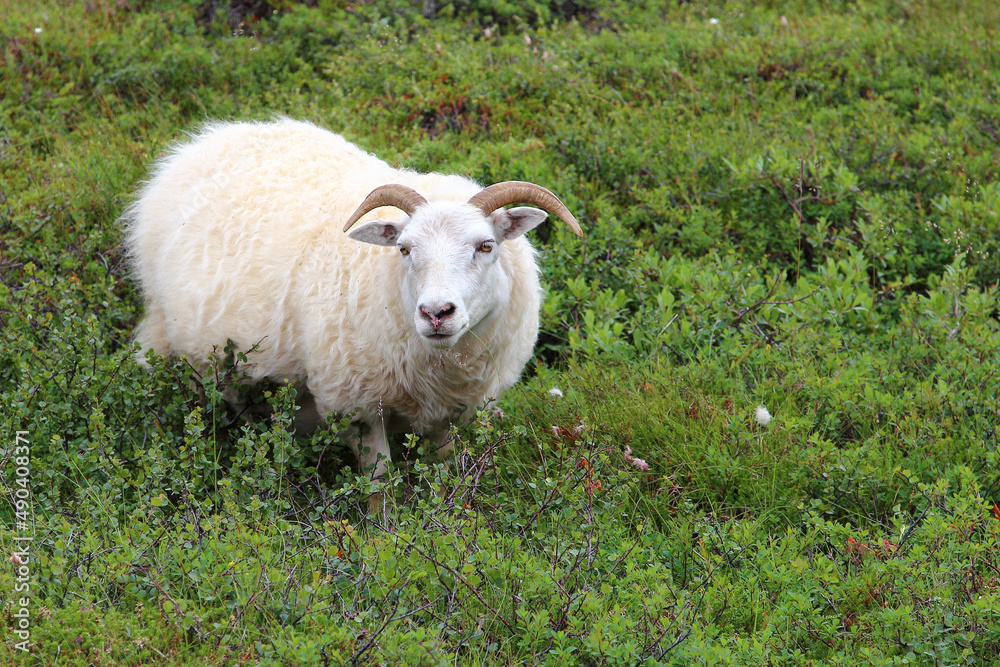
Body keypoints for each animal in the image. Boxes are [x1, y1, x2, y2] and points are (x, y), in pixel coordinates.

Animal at [122, 118, 582, 501]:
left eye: (486, 246)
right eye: (404, 249)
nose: (437, 313)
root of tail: (202, 143)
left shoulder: (450, 412)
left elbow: (444, 469)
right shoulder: (354, 404)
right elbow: (380, 483)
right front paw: (383, 538)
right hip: (188, 350)